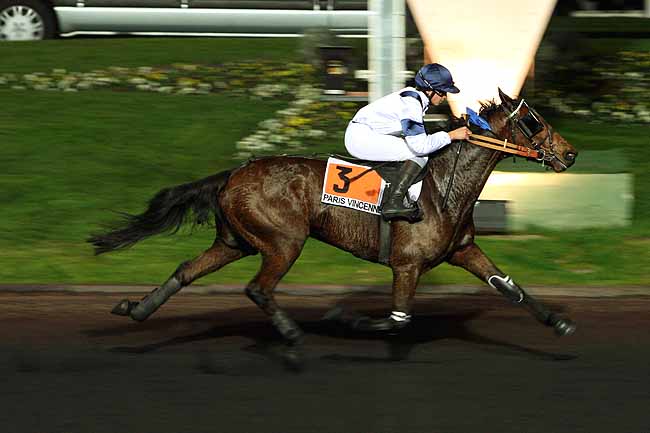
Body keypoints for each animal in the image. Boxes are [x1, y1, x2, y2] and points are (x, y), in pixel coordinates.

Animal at [88, 89, 578, 365]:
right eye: (533, 121)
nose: (570, 154)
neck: (443, 186)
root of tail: (233, 172)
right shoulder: (407, 264)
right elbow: (398, 320)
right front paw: (344, 317)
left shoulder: (463, 250)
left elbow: (511, 288)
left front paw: (558, 323)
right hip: (283, 241)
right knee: (258, 289)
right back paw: (293, 337)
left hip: (235, 242)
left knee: (186, 270)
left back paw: (136, 309)